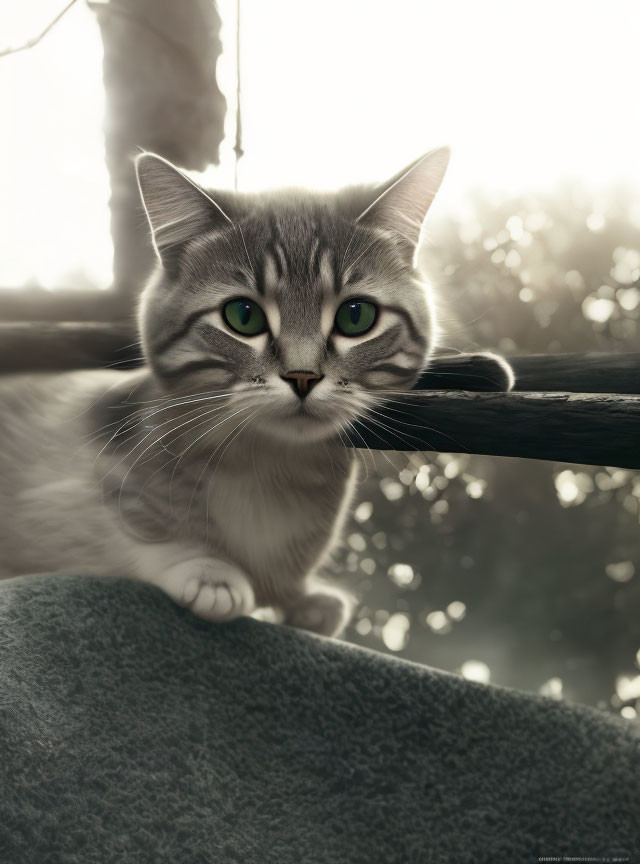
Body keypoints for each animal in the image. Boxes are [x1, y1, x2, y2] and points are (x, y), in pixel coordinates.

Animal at [0, 147, 512, 636]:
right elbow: (133, 519)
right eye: (242, 316)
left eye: (356, 317)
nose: (303, 377)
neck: (272, 462)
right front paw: (206, 568)